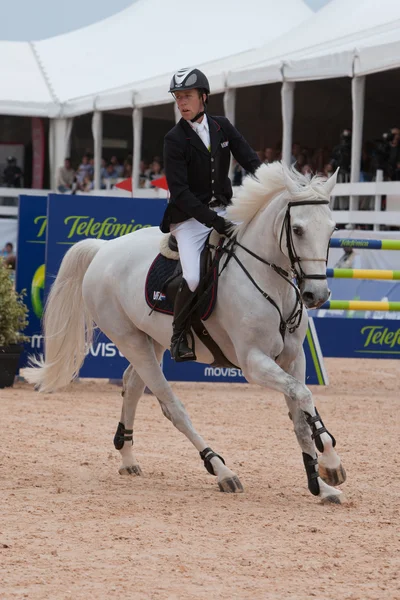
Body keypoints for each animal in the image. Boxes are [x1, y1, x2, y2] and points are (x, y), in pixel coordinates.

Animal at [23, 162, 346, 504]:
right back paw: (221, 469)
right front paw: (330, 464)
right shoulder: (254, 363)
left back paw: (128, 458)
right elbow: (304, 396)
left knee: (132, 385)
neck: (270, 283)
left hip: (152, 340)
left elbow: (300, 415)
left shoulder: (292, 359)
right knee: (171, 407)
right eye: (297, 229)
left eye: (332, 229)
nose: (316, 295)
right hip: (129, 339)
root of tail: (104, 248)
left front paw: (320, 482)